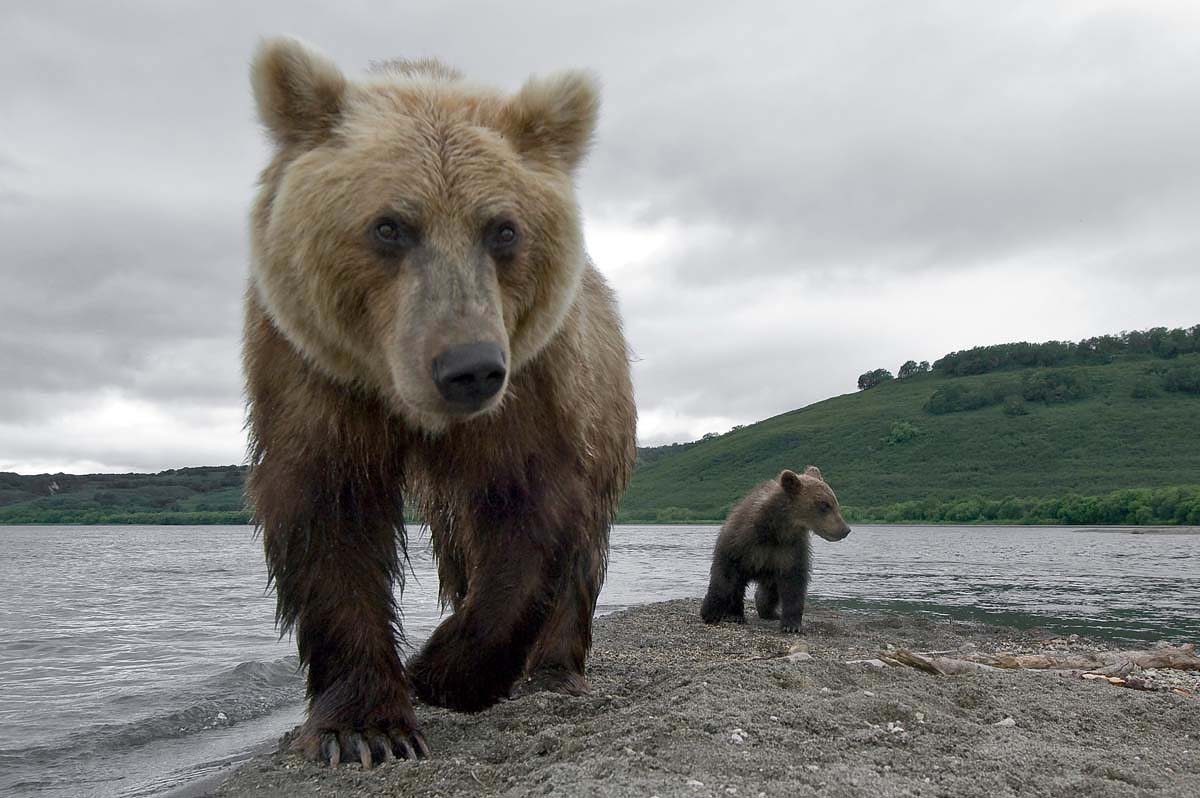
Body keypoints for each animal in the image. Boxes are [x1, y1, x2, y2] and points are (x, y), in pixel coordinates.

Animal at [243, 37, 638, 768]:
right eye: (389, 226)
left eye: (504, 229)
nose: (468, 369)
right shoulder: (314, 377)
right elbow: (328, 513)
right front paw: (365, 727)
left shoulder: (533, 385)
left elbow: (532, 508)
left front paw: (444, 672)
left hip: (608, 408)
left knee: (583, 547)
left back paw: (554, 669)